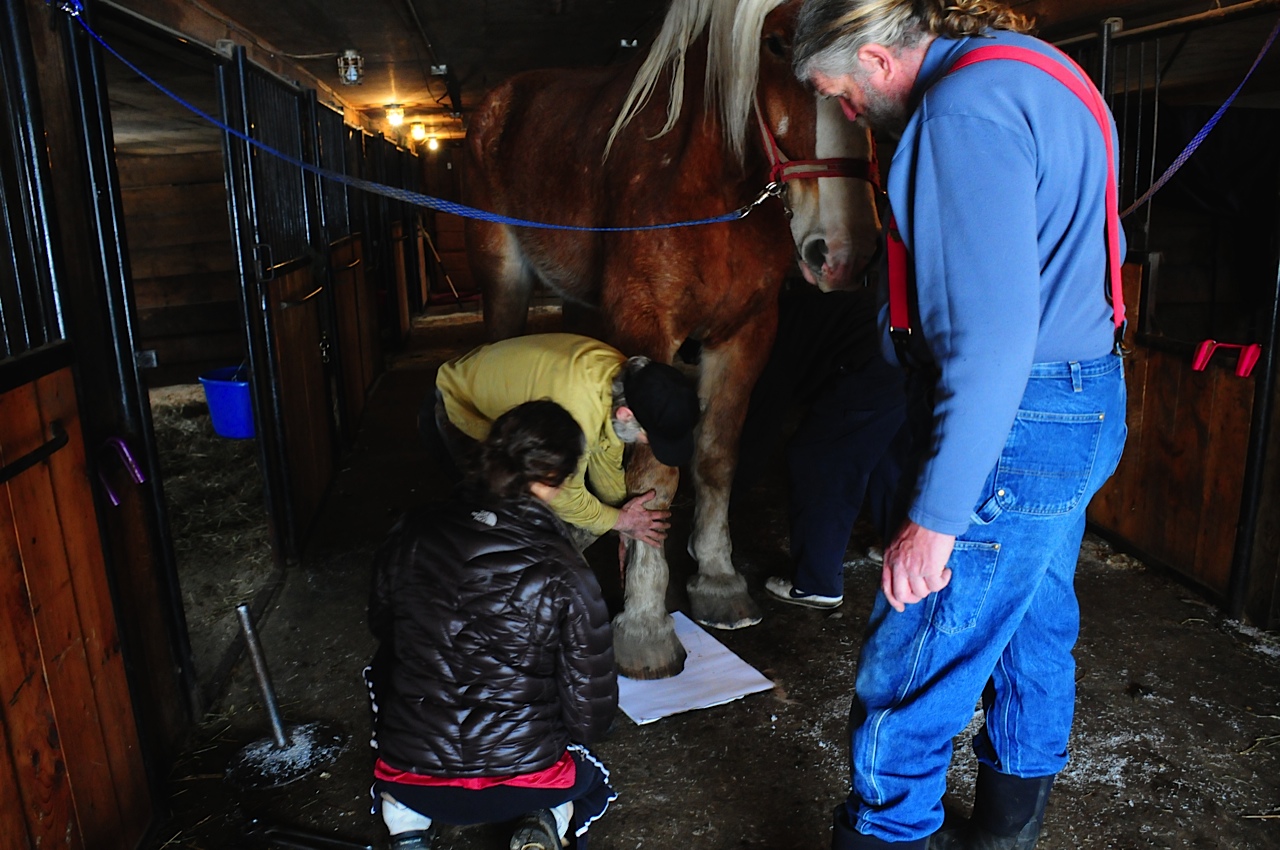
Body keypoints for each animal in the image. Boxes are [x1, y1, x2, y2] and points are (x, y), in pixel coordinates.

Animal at [465, 0, 885, 675]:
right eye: (776, 42)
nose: (844, 253)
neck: (706, 185)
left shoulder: (744, 335)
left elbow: (714, 456)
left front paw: (717, 581)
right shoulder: (647, 328)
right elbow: (654, 475)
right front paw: (644, 626)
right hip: (503, 280)